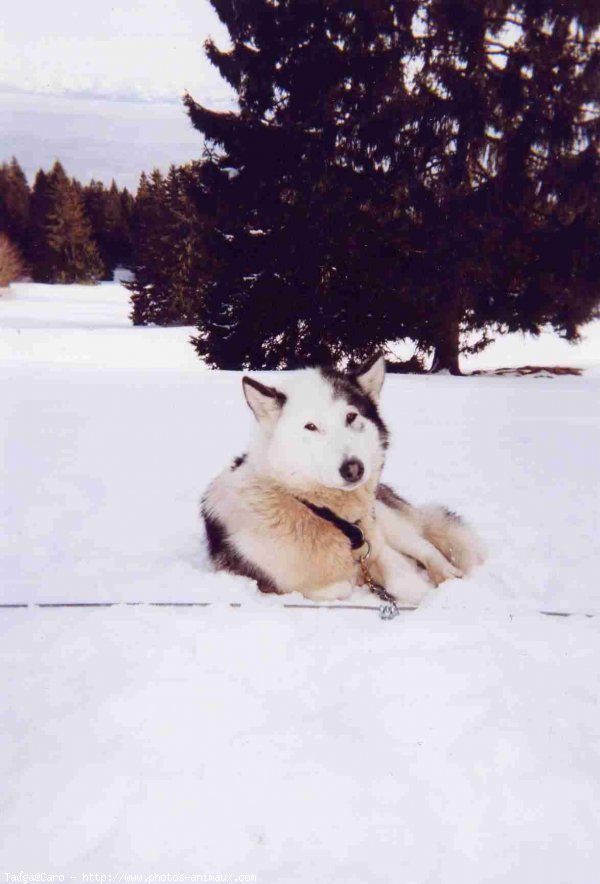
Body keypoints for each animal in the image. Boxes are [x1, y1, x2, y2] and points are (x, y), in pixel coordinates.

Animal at [204, 356, 486, 604]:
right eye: (311, 427)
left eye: (351, 417)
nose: (353, 469)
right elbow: (340, 588)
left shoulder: (377, 548)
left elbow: (406, 582)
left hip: (388, 522)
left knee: (425, 546)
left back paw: (447, 573)